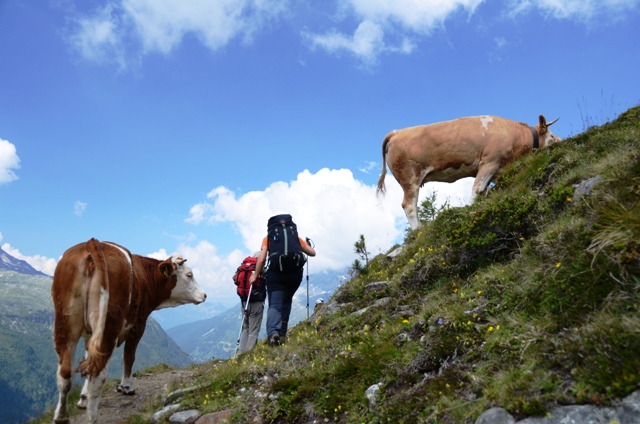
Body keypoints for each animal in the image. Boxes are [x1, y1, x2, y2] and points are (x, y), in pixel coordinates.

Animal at [53, 238, 208, 424]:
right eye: (189, 275)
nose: (204, 295)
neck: (145, 277)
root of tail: (93, 243)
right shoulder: (139, 324)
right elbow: (129, 356)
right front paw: (127, 387)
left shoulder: (90, 334)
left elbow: (87, 360)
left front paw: (83, 398)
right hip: (108, 325)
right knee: (98, 375)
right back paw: (92, 417)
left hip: (66, 322)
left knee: (65, 372)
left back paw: (61, 416)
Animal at [376, 114, 560, 230]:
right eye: (551, 136)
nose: (560, 141)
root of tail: (397, 132)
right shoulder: (489, 162)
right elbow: (477, 189)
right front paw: (469, 212)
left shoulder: (497, 169)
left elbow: (484, 191)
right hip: (409, 178)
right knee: (409, 205)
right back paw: (418, 231)